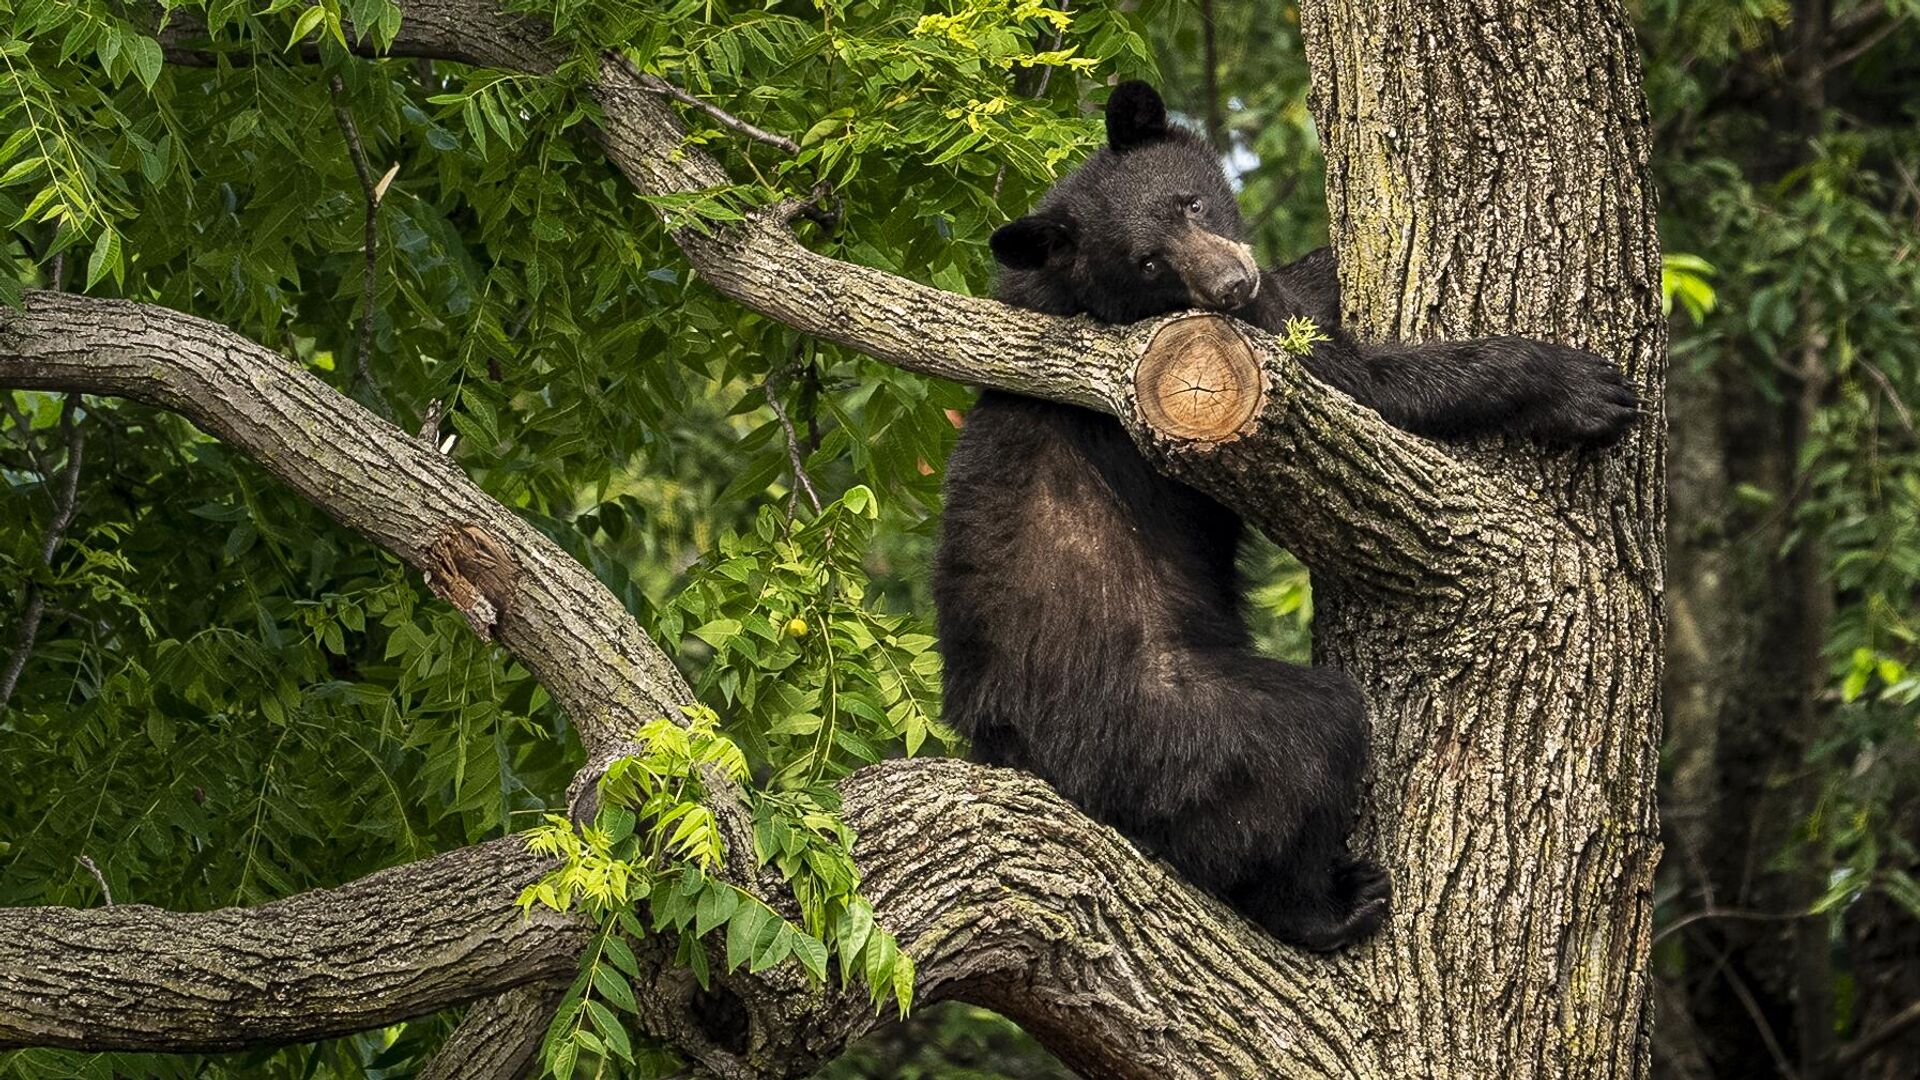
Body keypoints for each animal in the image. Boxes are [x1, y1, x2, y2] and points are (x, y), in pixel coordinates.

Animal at [929, 79, 1635, 945]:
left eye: (1192, 201)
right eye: (1148, 262)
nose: (1232, 284)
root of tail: (1014, 749)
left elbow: (1302, 303)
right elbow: (1359, 387)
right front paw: (1578, 389)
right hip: (1174, 721)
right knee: (1304, 748)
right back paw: (1329, 904)